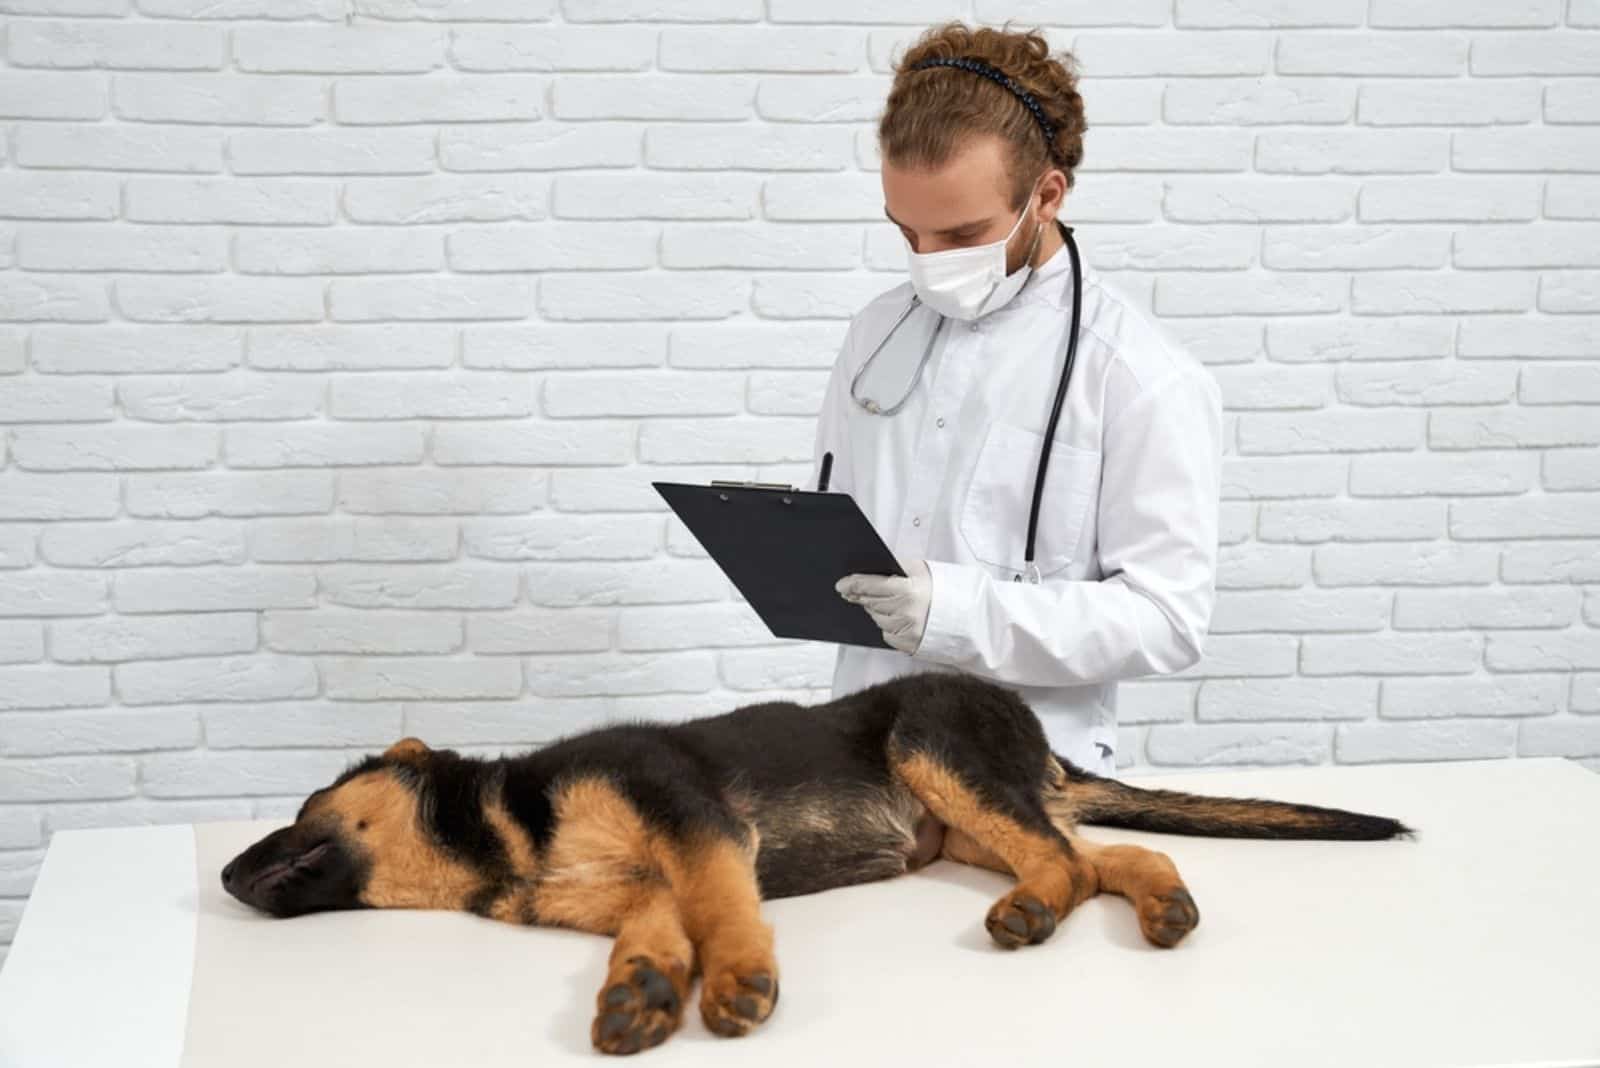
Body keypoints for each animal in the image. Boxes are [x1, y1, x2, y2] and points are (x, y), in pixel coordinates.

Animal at [222, 671, 1414, 1055]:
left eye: (304, 806)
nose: (227, 877)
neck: (504, 833)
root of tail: (1034, 734)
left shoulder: (690, 815)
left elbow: (720, 904)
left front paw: (740, 978)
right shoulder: (633, 888)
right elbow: (658, 929)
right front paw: (644, 991)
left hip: (934, 747)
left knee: (1072, 865)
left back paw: (1035, 912)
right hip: (972, 822)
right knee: (1111, 850)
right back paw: (1157, 904)